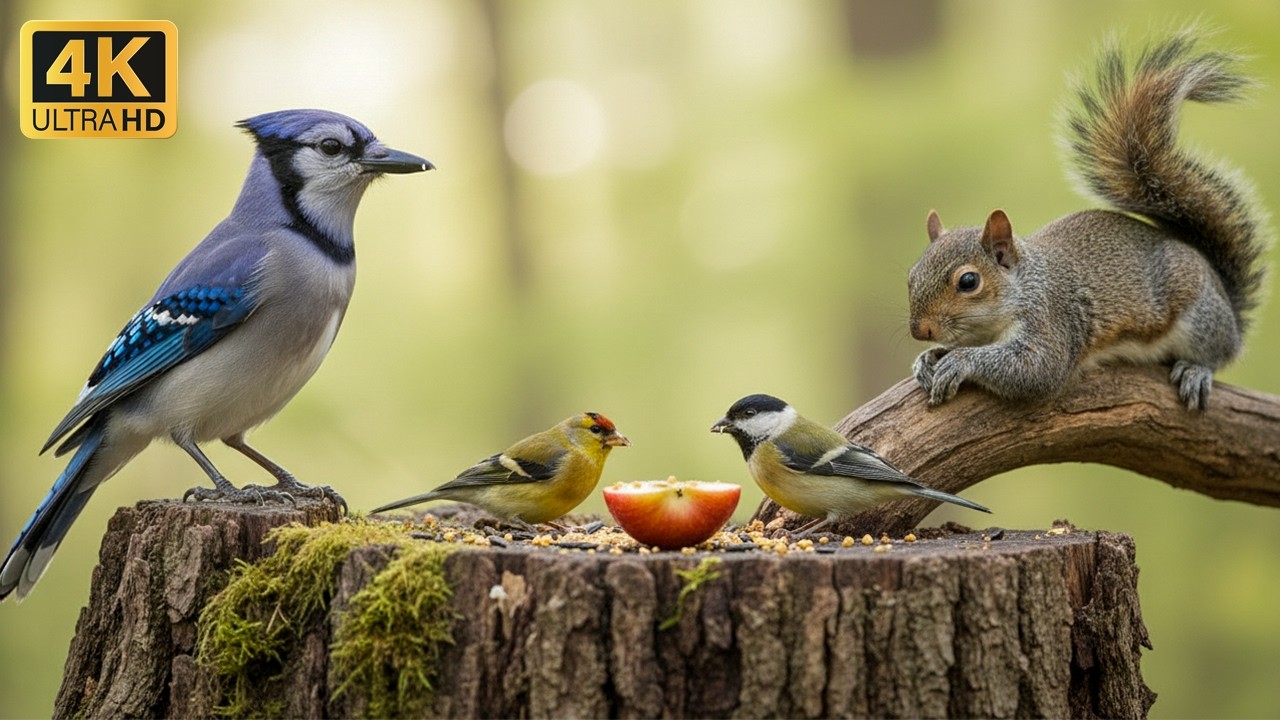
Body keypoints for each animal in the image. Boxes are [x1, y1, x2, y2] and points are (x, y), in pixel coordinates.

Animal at [907, 30, 1270, 410]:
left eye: (968, 282)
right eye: (911, 277)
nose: (920, 330)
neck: (1024, 286)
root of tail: (1225, 299)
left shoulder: (1051, 322)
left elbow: (1036, 369)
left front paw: (959, 362)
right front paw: (927, 358)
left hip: (1199, 316)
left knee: (1218, 351)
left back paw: (1198, 369)